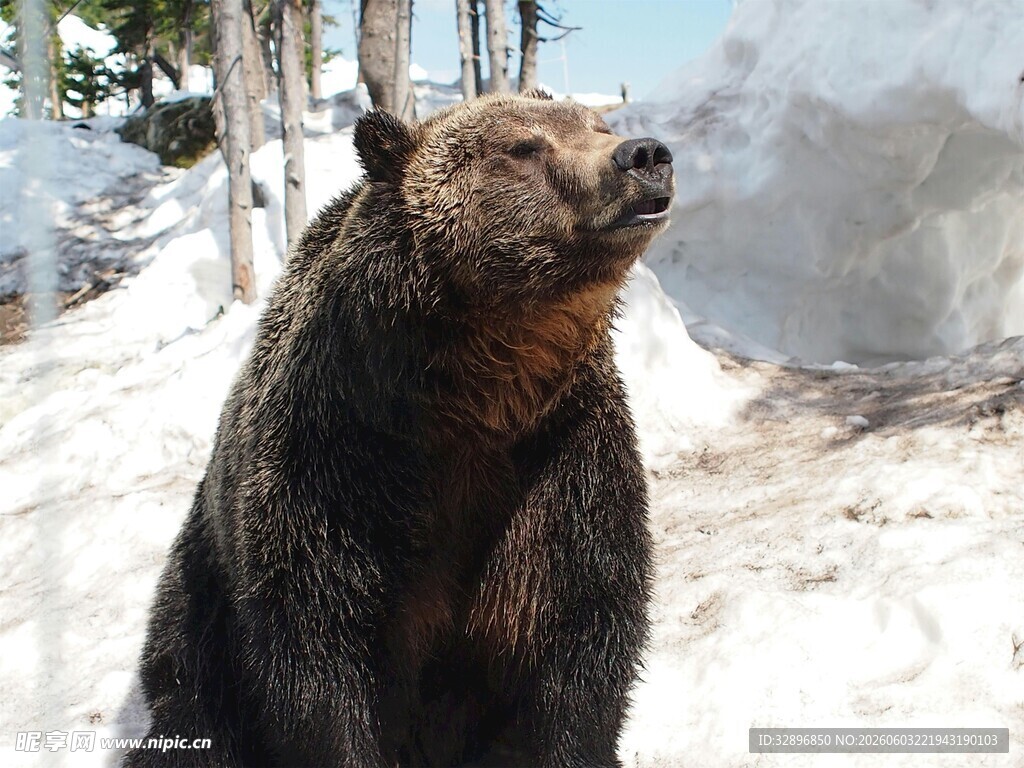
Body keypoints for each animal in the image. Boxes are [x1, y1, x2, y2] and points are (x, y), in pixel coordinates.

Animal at [125, 90, 674, 768]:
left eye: (596, 123)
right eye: (523, 146)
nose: (644, 155)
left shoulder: (562, 458)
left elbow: (581, 631)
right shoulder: (340, 465)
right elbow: (321, 660)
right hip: (200, 606)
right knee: (190, 709)